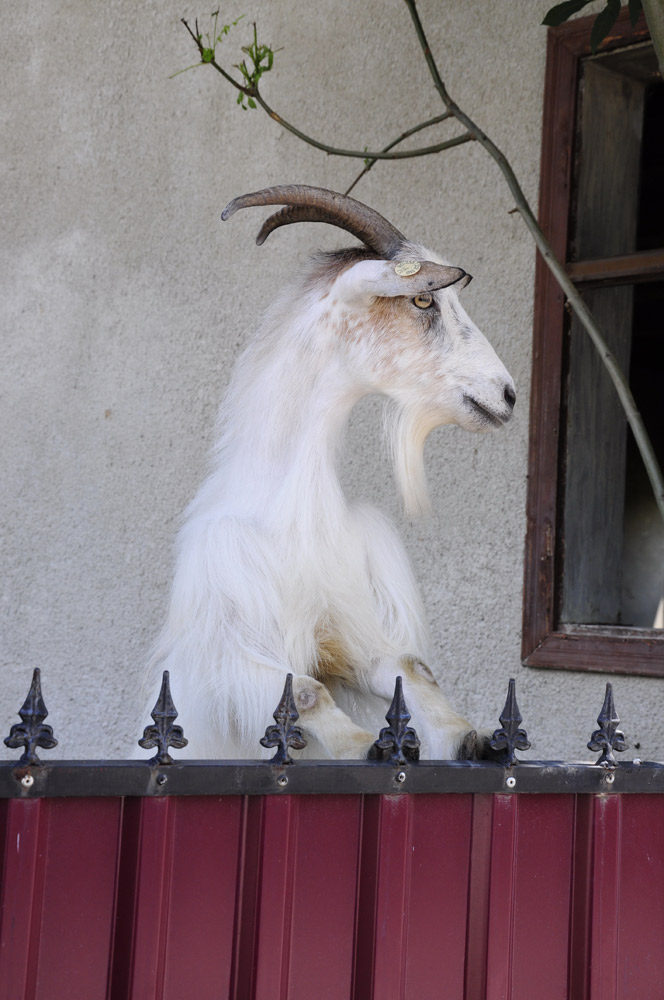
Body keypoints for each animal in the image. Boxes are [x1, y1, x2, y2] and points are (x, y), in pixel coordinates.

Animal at [144, 185, 515, 760]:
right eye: (424, 300)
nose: (507, 394)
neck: (289, 512)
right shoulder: (226, 660)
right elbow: (304, 690)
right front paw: (367, 746)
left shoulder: (351, 632)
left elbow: (408, 668)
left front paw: (468, 738)